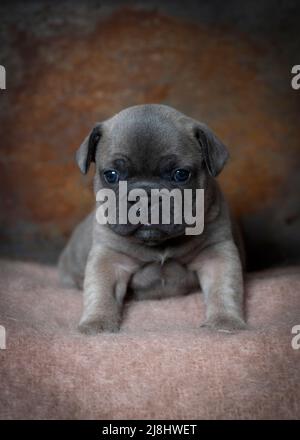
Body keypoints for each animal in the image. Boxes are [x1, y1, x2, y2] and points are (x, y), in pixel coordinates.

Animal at [58, 104, 246, 334]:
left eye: (181, 174)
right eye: (111, 175)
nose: (144, 196)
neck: (158, 244)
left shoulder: (216, 253)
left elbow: (224, 288)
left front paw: (225, 322)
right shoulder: (110, 257)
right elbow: (101, 292)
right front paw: (97, 323)